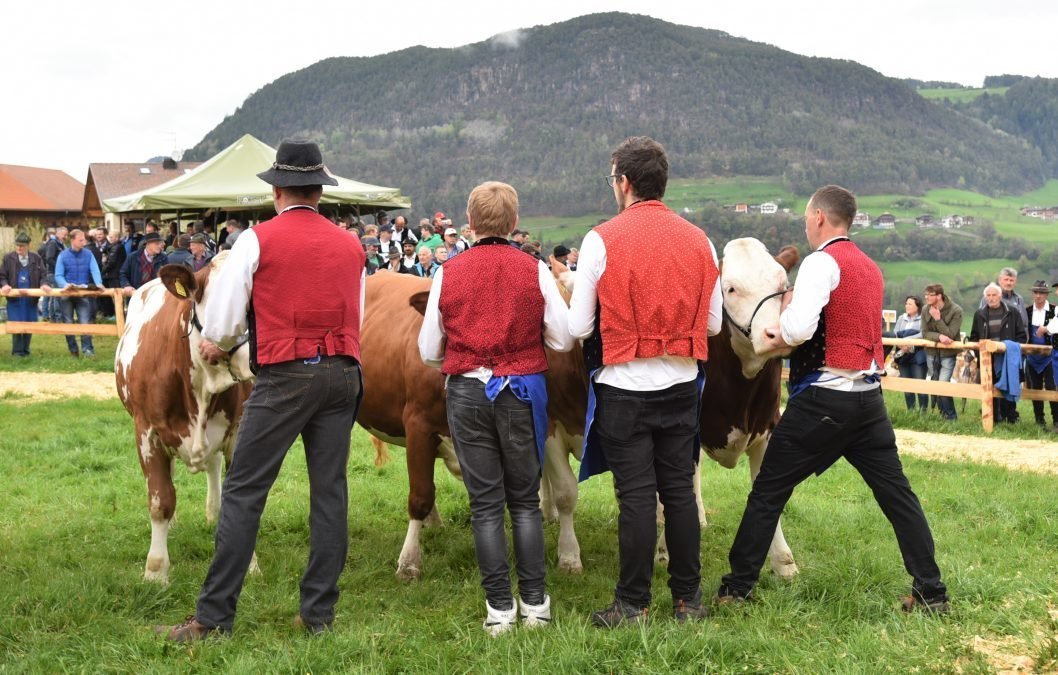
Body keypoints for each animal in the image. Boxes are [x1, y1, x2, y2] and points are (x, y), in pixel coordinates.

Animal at [114, 254, 254, 588]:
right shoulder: (147, 433)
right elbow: (160, 500)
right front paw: (155, 570)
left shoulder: (238, 430)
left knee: (213, 468)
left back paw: (213, 513)